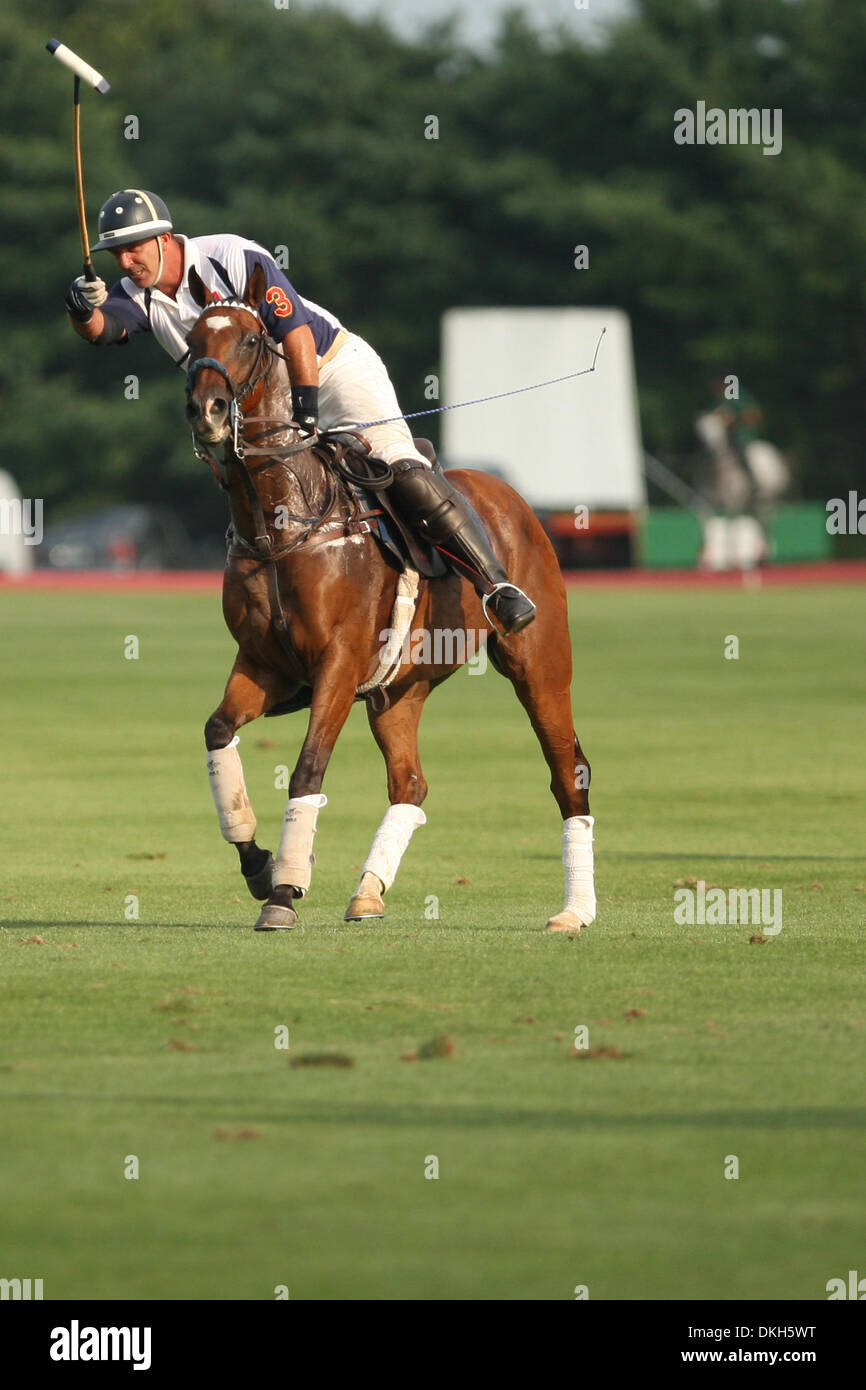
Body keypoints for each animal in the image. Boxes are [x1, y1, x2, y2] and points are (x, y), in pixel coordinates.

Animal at [180, 261, 594, 934]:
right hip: (398, 691)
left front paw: (284, 891)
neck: (282, 525)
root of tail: (510, 495)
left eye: (250, 338)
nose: (206, 410)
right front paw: (260, 866)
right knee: (410, 783)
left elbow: (308, 767)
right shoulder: (265, 665)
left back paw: (575, 911)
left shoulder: (339, 663)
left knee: (568, 774)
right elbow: (219, 733)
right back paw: (367, 892)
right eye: (192, 342)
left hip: (540, 664)